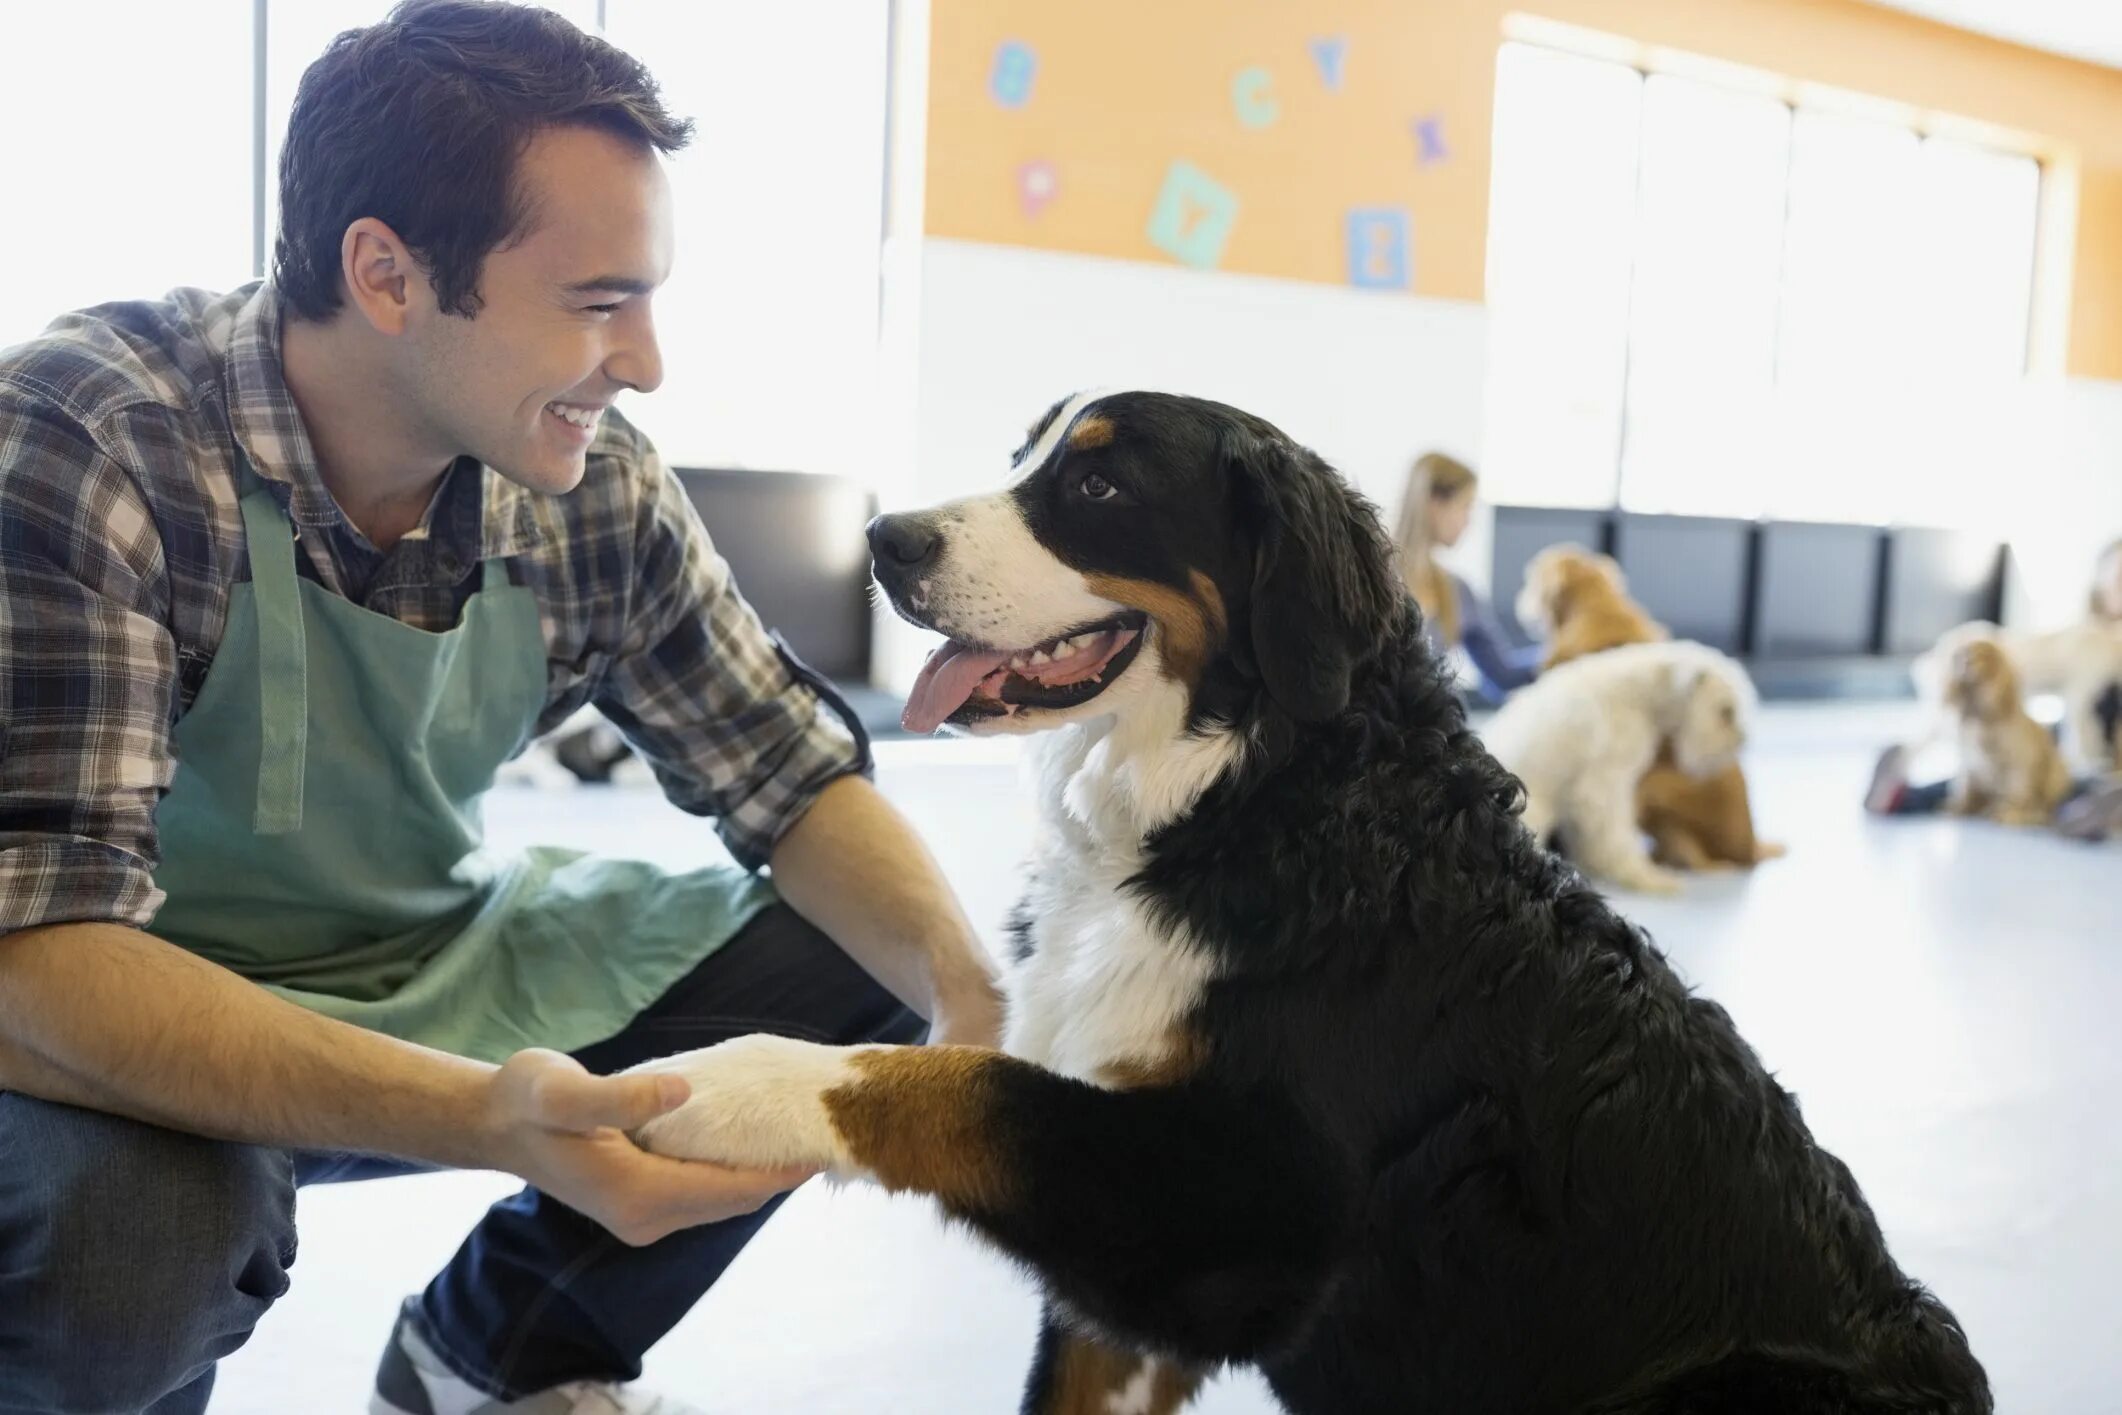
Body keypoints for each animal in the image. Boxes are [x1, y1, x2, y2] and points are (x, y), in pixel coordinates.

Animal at [1943, 636, 2062, 823]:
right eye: (1960, 654)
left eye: (1982, 653)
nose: (1966, 662)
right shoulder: (1969, 763)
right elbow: (1966, 791)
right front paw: (1960, 807)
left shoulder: (2017, 763)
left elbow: (2016, 794)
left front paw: (2010, 812)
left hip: (2057, 773)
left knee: (2041, 803)